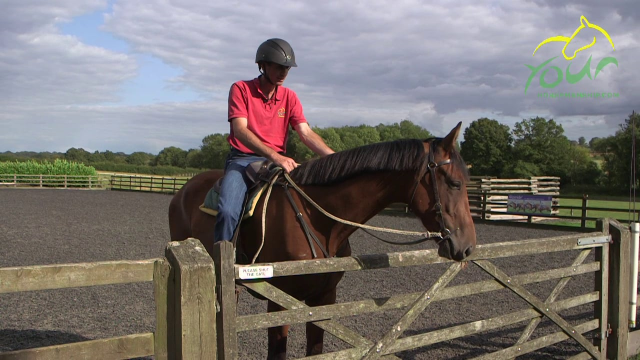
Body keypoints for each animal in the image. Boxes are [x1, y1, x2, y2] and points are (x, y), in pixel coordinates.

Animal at [168, 122, 478, 358]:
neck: (317, 219)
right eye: (454, 183)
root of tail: (183, 190)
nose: (467, 247)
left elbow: (316, 349)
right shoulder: (281, 303)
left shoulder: (324, 298)